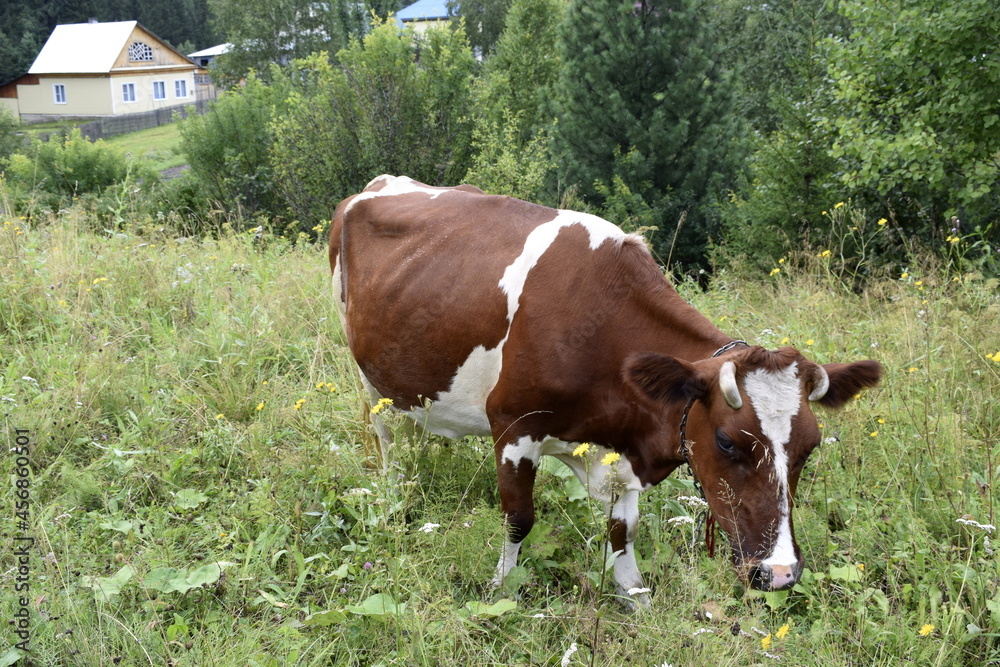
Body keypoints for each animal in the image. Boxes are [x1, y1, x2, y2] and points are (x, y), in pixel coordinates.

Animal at [329, 175, 882, 606]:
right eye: (727, 442)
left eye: (810, 447)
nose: (781, 573)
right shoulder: (512, 425)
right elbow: (517, 519)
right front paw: (500, 590)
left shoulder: (621, 449)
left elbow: (623, 529)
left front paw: (633, 596)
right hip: (362, 369)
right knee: (383, 433)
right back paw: (393, 490)